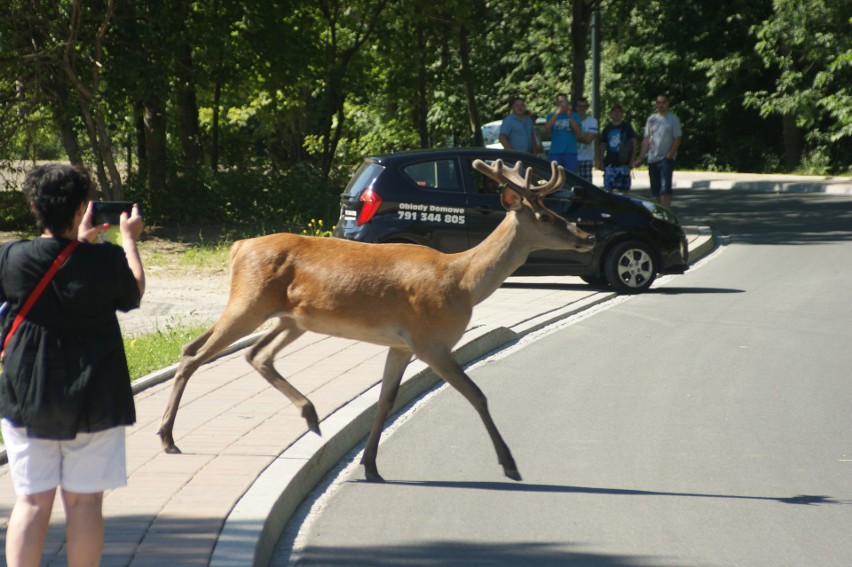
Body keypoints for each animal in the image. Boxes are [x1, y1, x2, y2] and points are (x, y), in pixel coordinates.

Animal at [160, 160, 596, 484]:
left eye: (556, 211)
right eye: (545, 214)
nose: (587, 235)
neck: (461, 282)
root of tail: (237, 247)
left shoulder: (401, 345)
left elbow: (386, 400)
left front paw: (369, 466)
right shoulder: (430, 340)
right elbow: (477, 394)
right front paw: (510, 464)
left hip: (289, 317)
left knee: (245, 353)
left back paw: (311, 417)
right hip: (249, 301)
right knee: (198, 354)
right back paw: (167, 438)